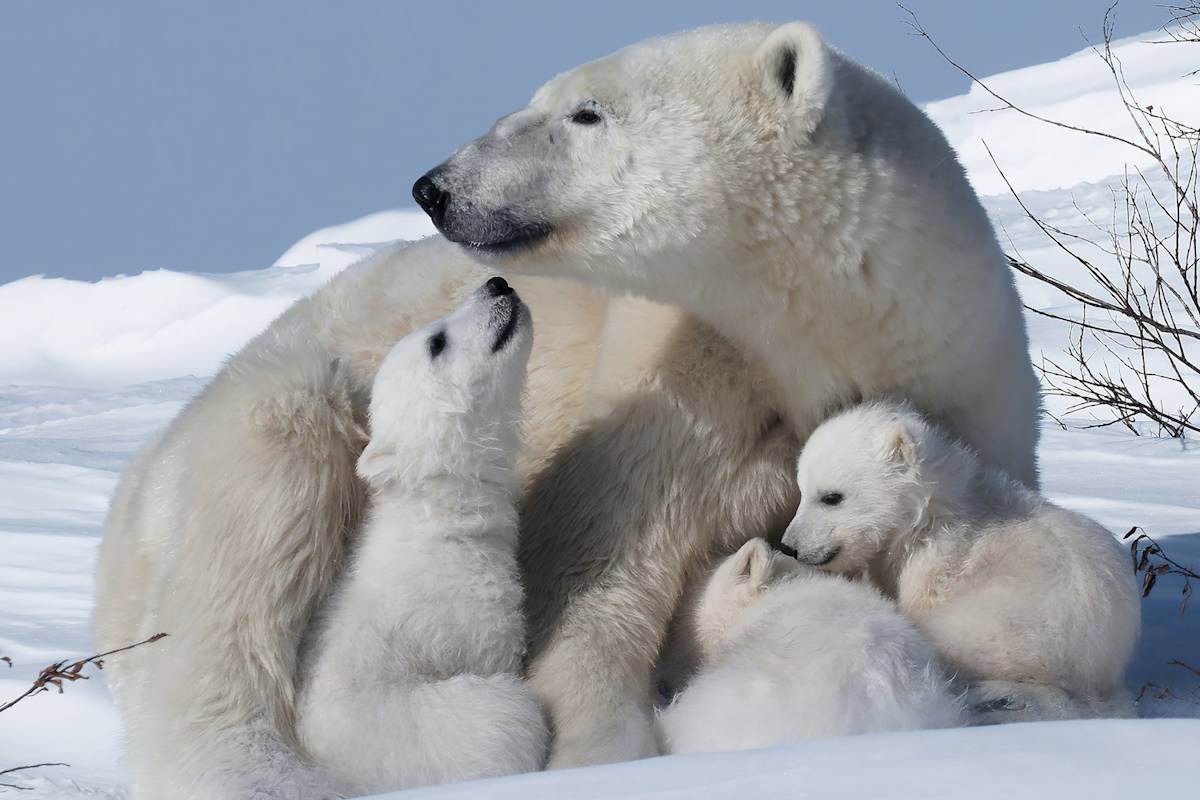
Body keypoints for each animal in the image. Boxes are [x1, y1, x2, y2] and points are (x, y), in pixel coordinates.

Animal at [780, 400, 1141, 721]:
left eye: (831, 497)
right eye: (802, 490)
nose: (789, 546)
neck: (932, 512)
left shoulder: (939, 560)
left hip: (1004, 625)